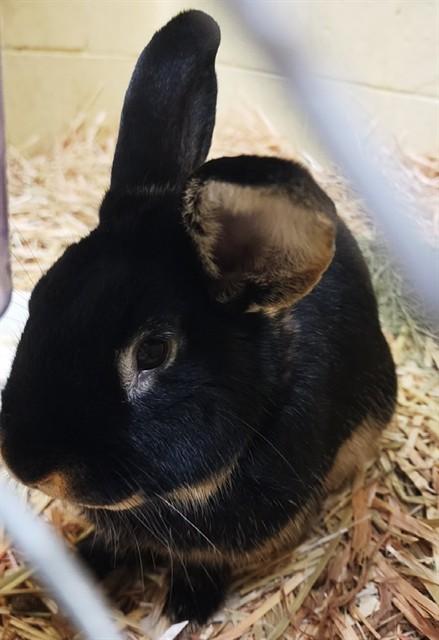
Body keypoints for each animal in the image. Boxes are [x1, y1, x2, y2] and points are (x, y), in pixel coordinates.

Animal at [0, 10, 396, 627]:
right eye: (41, 294)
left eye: (154, 351)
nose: (27, 465)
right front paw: (82, 569)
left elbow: (204, 564)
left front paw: (186, 606)